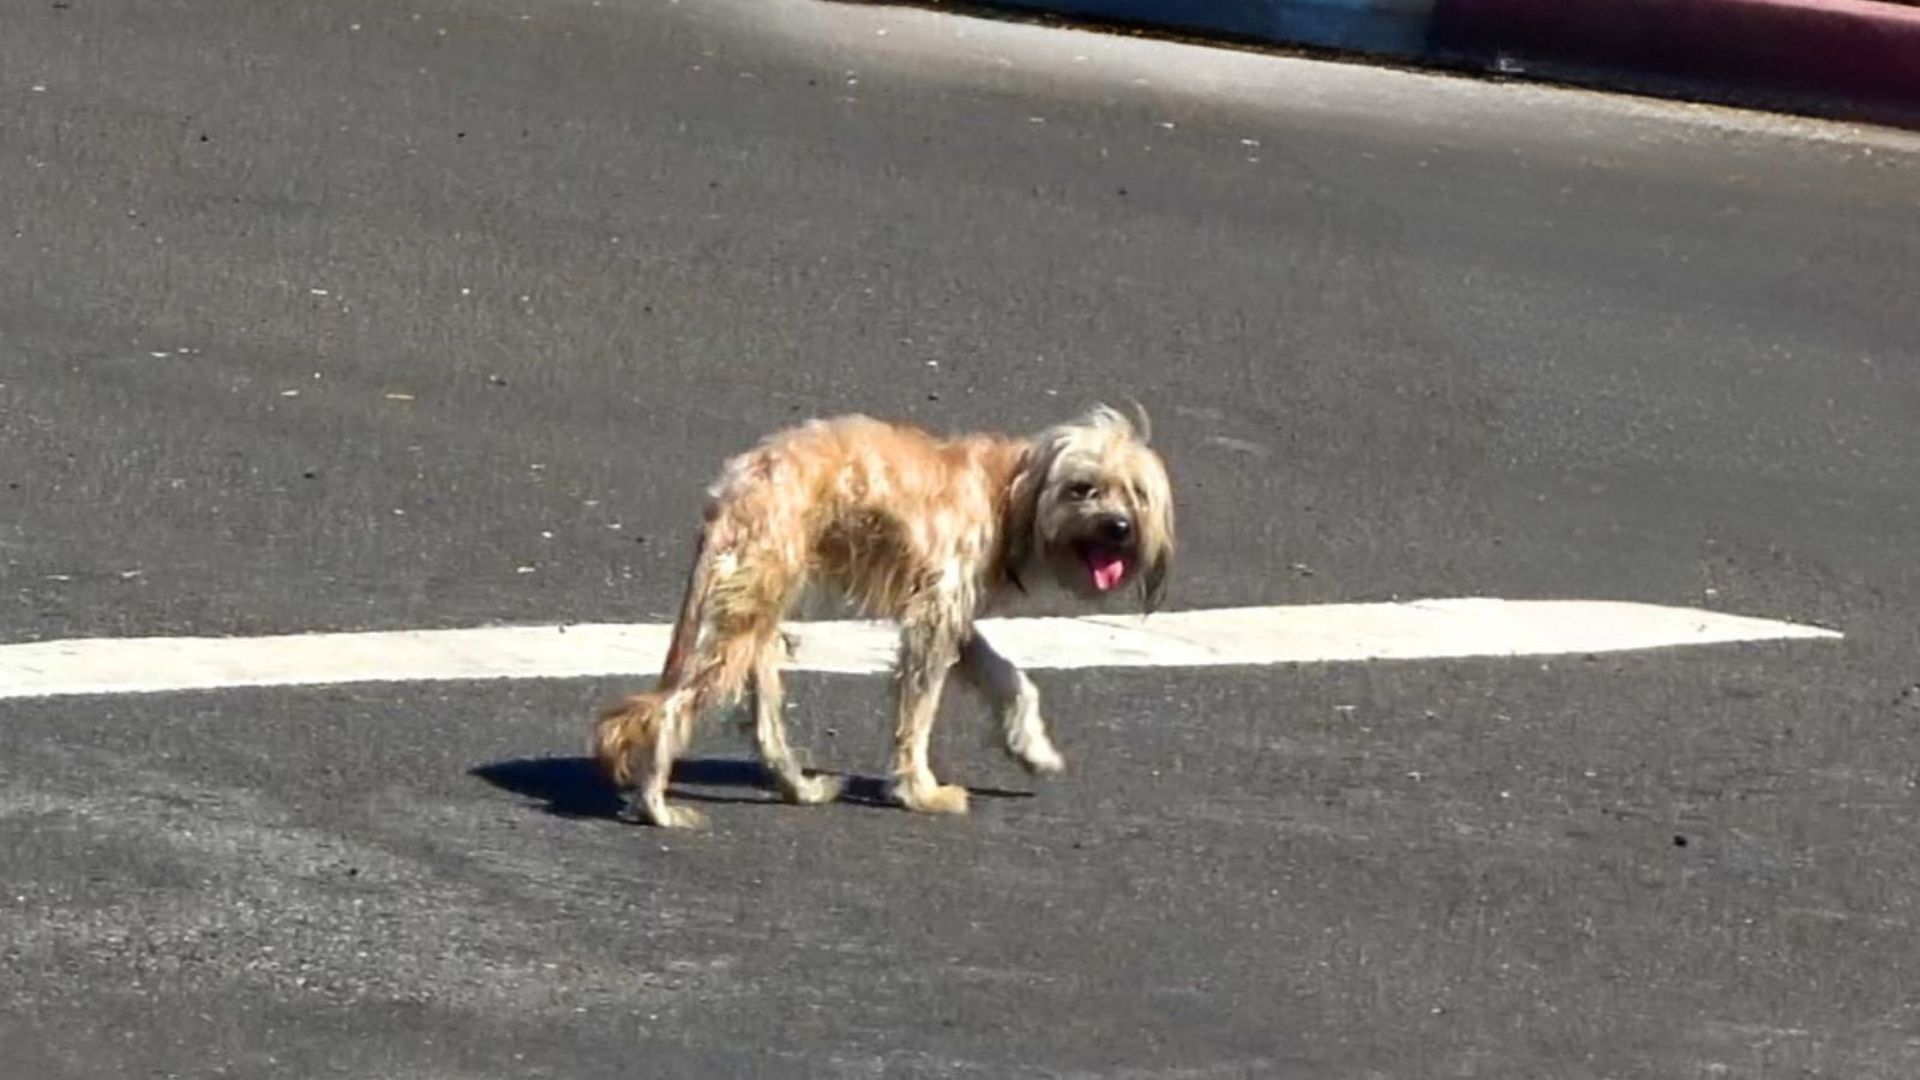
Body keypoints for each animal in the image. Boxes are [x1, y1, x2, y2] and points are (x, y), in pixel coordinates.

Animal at [591, 401, 1175, 822]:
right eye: (1082, 489)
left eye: (1136, 494)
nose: (1119, 527)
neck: (1009, 491)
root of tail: (735, 487)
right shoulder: (933, 618)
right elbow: (917, 716)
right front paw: (920, 790)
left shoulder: (951, 614)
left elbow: (1007, 676)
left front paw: (1031, 748)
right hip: (742, 619)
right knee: (669, 711)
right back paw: (657, 806)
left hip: (755, 614)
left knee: (761, 722)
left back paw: (799, 786)